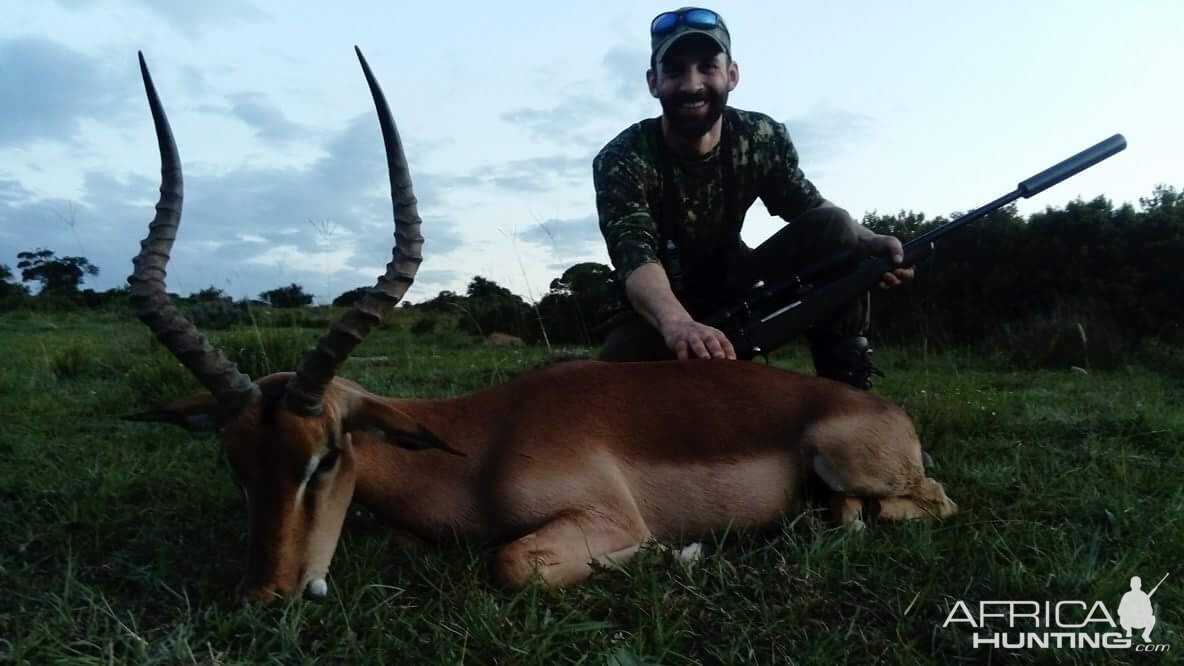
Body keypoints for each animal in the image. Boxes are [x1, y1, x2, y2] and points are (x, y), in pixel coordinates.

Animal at [124, 49, 956, 599]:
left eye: (324, 458)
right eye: (235, 461)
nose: (272, 596)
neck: (478, 448)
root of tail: (883, 408)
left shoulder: (603, 519)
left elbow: (512, 563)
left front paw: (682, 555)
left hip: (850, 461)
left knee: (935, 502)